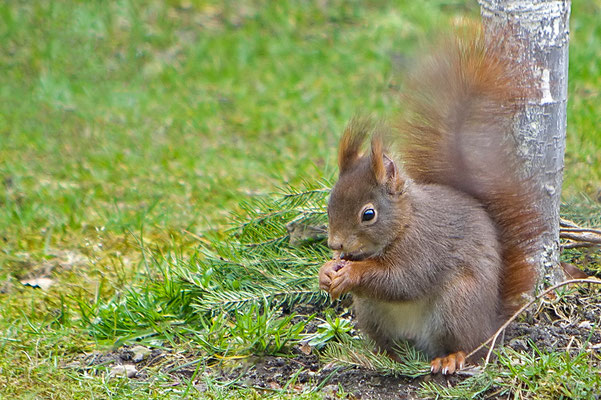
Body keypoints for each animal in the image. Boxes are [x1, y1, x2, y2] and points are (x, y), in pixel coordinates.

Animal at [318, 28, 544, 376]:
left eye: (368, 214)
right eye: (329, 203)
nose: (335, 244)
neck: (405, 223)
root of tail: (491, 326)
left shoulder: (425, 248)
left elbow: (403, 280)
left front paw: (350, 274)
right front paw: (327, 271)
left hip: (458, 302)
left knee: (466, 347)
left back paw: (451, 357)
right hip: (370, 312)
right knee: (393, 346)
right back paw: (384, 356)